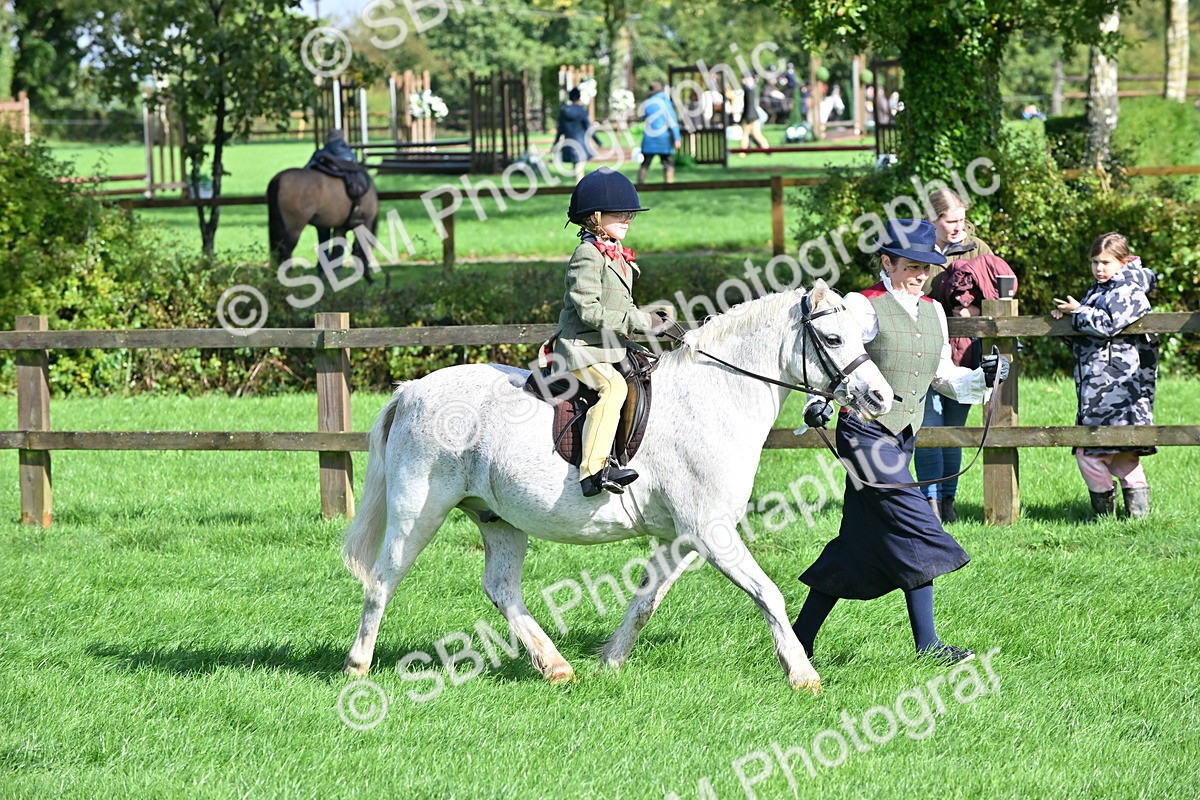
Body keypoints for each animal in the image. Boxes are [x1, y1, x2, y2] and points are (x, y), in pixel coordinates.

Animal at [340, 281, 894, 693]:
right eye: (835, 340)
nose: (881, 397)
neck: (718, 396)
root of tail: (412, 390)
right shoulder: (712, 533)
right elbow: (769, 594)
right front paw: (802, 674)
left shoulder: (683, 538)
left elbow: (646, 601)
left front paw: (609, 662)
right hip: (420, 509)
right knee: (382, 579)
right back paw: (357, 666)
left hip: (498, 517)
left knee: (501, 589)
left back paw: (556, 666)